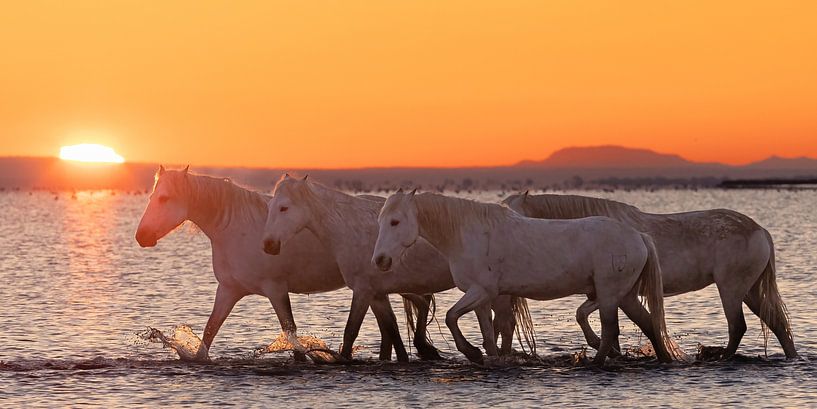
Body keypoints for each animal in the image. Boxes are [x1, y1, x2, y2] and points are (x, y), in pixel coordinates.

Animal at [134, 166, 438, 362]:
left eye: (164, 198)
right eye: (151, 197)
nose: (142, 236)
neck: (235, 229)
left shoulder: (276, 290)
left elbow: (291, 334)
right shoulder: (229, 291)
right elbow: (210, 332)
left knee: (418, 307)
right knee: (398, 322)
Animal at [261, 175, 533, 361]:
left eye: (284, 207)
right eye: (271, 206)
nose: (269, 244)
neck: (349, 228)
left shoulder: (363, 291)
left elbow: (352, 332)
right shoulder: (378, 295)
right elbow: (391, 333)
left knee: (505, 324)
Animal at [372, 190, 676, 366]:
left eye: (395, 222)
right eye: (381, 221)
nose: (380, 260)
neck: (467, 233)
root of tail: (638, 236)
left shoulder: (481, 291)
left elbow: (450, 317)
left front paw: (471, 352)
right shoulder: (482, 296)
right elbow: (487, 332)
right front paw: (487, 357)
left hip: (611, 294)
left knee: (611, 329)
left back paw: (596, 363)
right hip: (623, 295)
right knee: (648, 323)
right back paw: (661, 358)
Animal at [503, 192, 797, 359]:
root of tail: (759, 230)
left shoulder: (619, 294)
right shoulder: (602, 293)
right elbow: (588, 317)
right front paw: (608, 350)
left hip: (731, 290)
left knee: (738, 326)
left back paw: (724, 358)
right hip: (748, 291)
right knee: (777, 323)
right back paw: (791, 356)